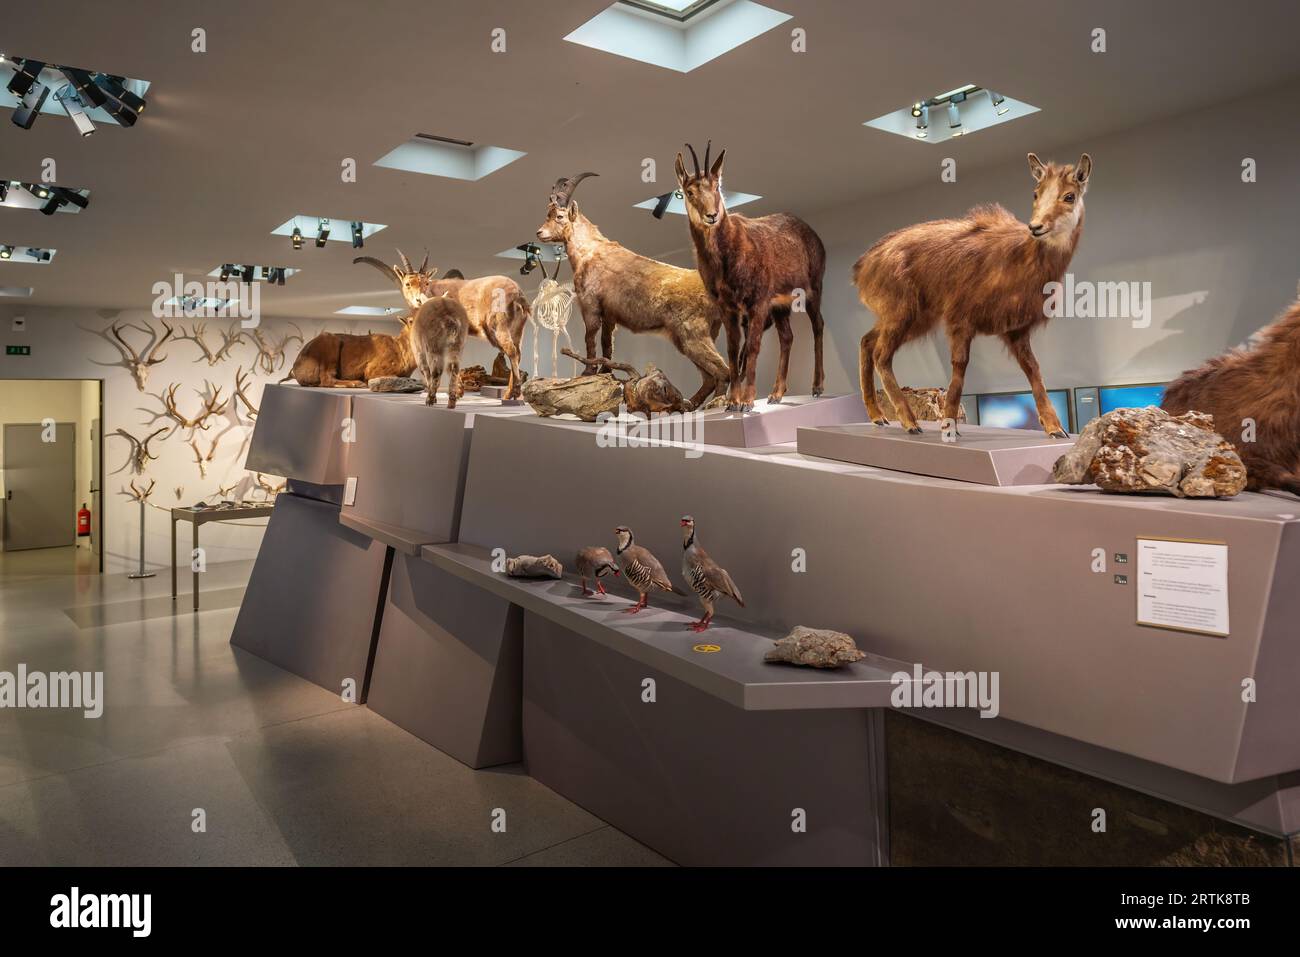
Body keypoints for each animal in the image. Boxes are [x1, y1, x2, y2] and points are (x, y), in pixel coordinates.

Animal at [353, 252, 530, 397]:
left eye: (425, 282)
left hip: (498, 325)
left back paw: (512, 394)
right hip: (517, 328)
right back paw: (511, 393)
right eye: (408, 283)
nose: (419, 299)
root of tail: (518, 294)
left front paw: (455, 391)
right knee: (518, 352)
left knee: (512, 351)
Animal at [530, 174, 733, 408]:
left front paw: (588, 372)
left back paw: (715, 403)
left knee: (723, 372)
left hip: (693, 335)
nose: (539, 233)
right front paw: (606, 372)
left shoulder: (590, 306)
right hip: (693, 337)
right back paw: (690, 403)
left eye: (560, 216)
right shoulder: (610, 315)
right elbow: (607, 344)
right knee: (710, 377)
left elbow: (590, 338)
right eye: (548, 214)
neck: (589, 252)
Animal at [676, 141, 826, 408]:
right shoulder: (727, 307)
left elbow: (753, 346)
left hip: (813, 289)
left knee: (817, 325)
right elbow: (732, 349)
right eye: (689, 192)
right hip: (780, 305)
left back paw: (817, 386)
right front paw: (733, 401)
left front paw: (747, 400)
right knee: (787, 337)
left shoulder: (758, 301)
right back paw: (776, 393)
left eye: (716, 186)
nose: (712, 215)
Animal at [852, 151, 1086, 434]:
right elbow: (960, 368)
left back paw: (878, 416)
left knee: (867, 341)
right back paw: (910, 422)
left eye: (1069, 195)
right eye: (1036, 192)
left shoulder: (1016, 329)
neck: (1021, 258)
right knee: (881, 355)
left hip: (913, 317)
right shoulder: (960, 318)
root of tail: (861, 269)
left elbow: (1034, 370)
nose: (1036, 227)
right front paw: (949, 424)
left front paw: (1054, 428)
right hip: (901, 311)